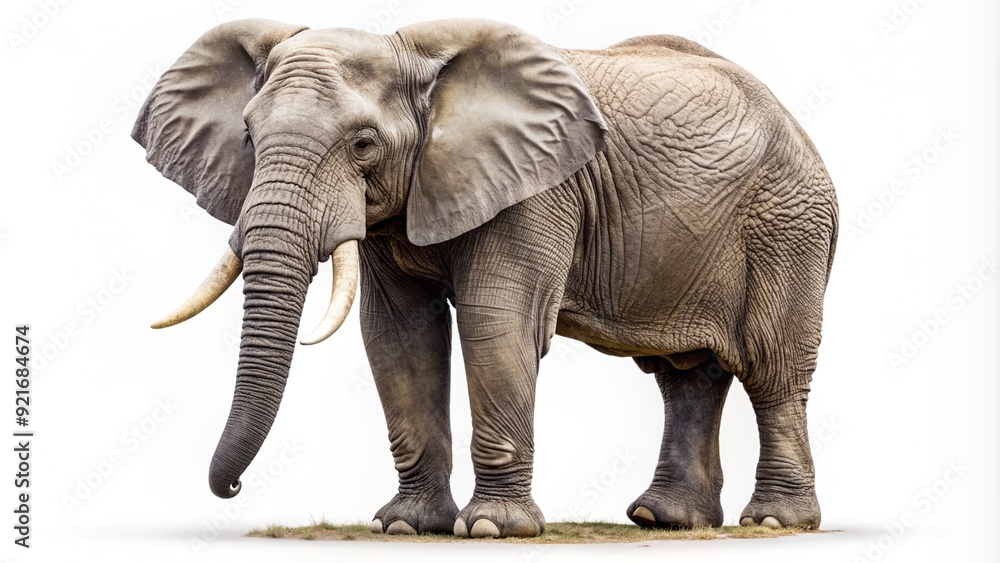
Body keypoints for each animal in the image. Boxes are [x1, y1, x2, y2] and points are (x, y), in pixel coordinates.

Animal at [132, 18, 838, 538]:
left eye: (364, 144)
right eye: (249, 136)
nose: (232, 488)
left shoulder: (538, 191)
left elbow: (496, 323)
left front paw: (493, 529)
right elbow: (398, 337)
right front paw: (406, 527)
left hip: (788, 229)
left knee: (772, 370)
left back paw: (774, 521)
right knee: (685, 375)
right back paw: (664, 520)